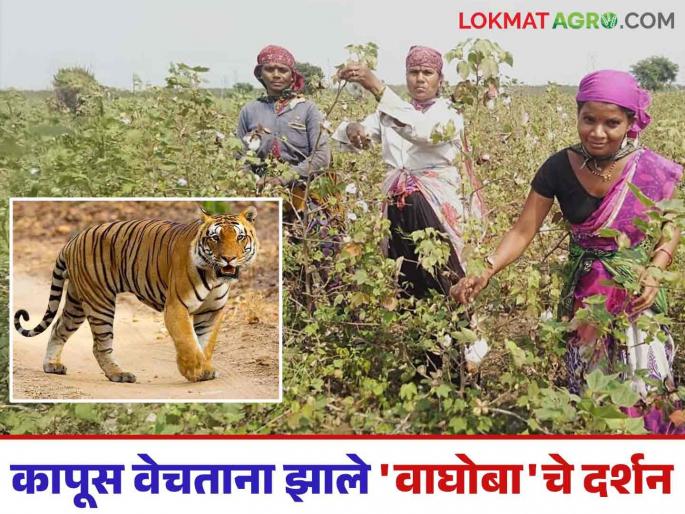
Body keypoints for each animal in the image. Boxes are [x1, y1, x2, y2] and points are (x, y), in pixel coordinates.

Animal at [14, 206, 258, 383]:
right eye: (215, 238)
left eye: (239, 238)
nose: (228, 259)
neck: (215, 276)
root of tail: (73, 240)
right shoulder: (176, 306)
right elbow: (187, 340)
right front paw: (192, 370)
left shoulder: (212, 311)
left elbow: (205, 343)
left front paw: (204, 369)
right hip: (99, 301)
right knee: (100, 346)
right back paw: (119, 375)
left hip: (77, 301)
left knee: (58, 328)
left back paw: (51, 365)